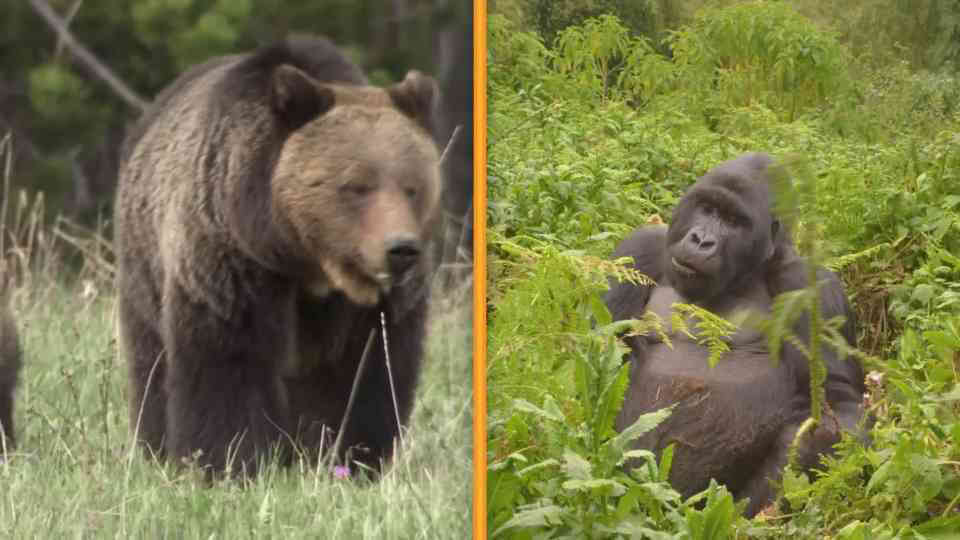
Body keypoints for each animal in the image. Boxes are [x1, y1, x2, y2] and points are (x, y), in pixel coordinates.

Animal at [114, 35, 443, 474]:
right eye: (357, 185)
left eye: (412, 187)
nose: (401, 249)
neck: (308, 263)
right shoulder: (234, 265)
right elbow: (228, 363)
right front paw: (228, 461)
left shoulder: (373, 308)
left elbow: (366, 371)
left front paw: (347, 458)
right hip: (144, 264)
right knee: (152, 364)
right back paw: (155, 449)